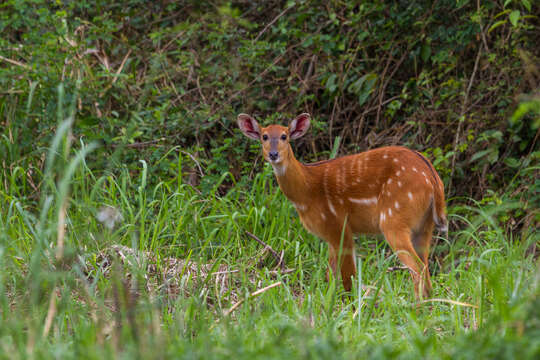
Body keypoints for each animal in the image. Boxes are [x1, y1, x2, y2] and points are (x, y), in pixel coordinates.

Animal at [236, 112, 448, 298]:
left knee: (417, 268)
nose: (273, 154)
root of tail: (433, 180)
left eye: (284, 136)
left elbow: (348, 279)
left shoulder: (338, 225)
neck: (306, 193)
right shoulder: (330, 234)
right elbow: (330, 276)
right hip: (424, 226)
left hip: (393, 219)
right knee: (426, 268)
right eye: (264, 136)